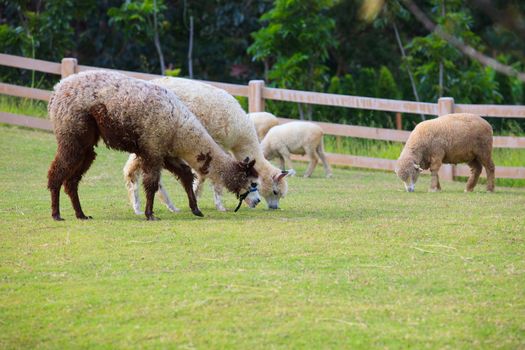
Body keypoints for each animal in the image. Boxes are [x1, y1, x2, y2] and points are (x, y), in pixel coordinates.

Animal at [46, 69, 258, 220]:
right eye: (253, 183)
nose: (256, 201)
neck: (179, 128)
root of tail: (57, 90)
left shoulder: (166, 152)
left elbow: (185, 176)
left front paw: (196, 210)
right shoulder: (153, 148)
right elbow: (152, 183)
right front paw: (150, 215)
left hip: (86, 145)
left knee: (72, 181)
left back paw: (81, 214)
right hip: (72, 133)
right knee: (57, 172)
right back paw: (57, 214)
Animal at [124, 77, 294, 211]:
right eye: (275, 192)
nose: (274, 207)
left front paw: (196, 196)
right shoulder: (216, 141)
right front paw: (218, 205)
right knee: (132, 169)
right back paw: (143, 206)